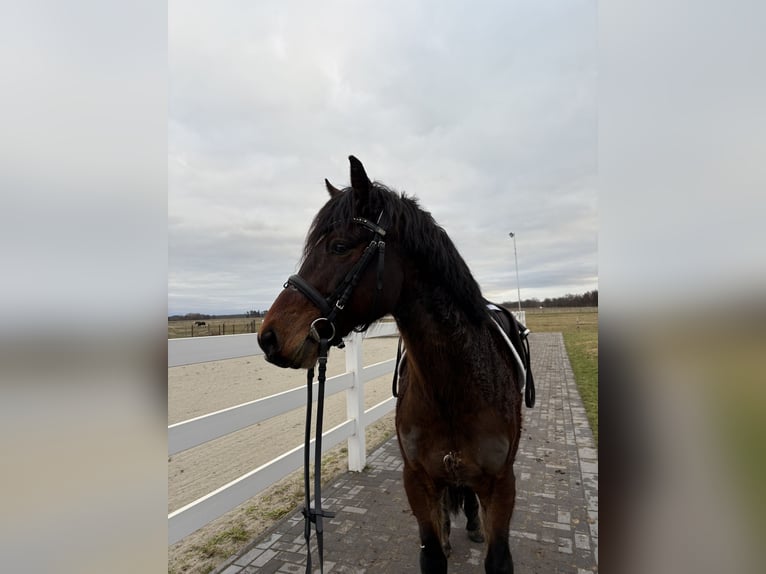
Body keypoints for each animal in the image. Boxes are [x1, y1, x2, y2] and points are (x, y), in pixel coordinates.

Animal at [258, 156, 524, 573]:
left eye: (339, 246)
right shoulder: (417, 481)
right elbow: (432, 554)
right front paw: (443, 539)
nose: (269, 336)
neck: (455, 391)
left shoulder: (502, 486)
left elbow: (497, 557)